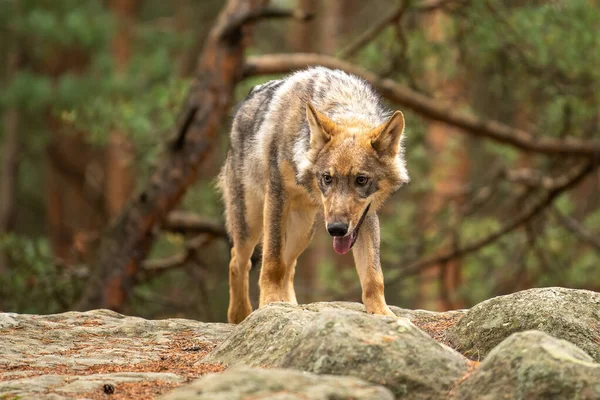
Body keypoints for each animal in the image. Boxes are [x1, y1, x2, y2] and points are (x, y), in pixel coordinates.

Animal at [218, 66, 410, 322]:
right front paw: (270, 303)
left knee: (289, 267)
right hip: (251, 223)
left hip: (302, 229)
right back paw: (240, 315)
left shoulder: (365, 217)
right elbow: (272, 261)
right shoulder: (277, 194)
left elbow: (373, 275)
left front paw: (382, 314)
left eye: (361, 180)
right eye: (327, 178)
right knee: (238, 261)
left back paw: (289, 304)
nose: (337, 229)